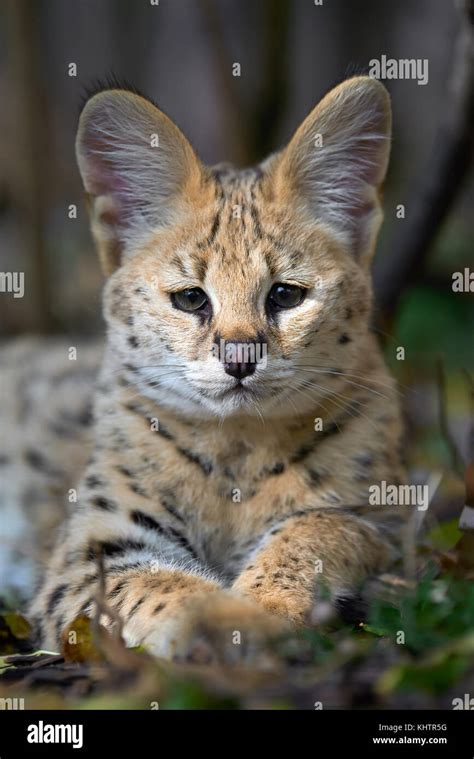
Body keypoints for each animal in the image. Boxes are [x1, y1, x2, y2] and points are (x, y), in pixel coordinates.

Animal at [25, 74, 408, 664]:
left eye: (285, 295)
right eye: (190, 299)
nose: (239, 357)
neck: (238, 451)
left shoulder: (384, 519)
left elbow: (313, 529)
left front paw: (263, 609)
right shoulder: (93, 548)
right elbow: (160, 583)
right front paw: (232, 620)